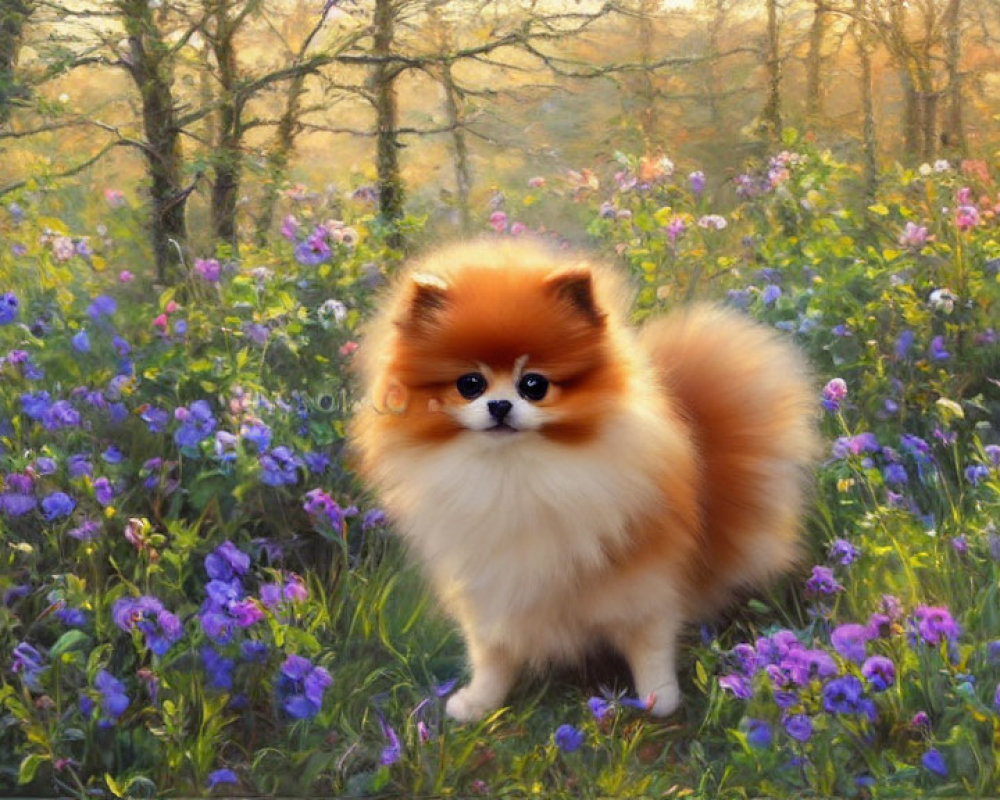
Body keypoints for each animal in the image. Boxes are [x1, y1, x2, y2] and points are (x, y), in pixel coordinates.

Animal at [352, 241, 820, 720]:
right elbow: (491, 653)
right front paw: (480, 703)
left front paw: (660, 698)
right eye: (470, 384)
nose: (500, 405)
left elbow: (650, 641)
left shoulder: (643, 576)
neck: (514, 472)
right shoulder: (487, 588)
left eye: (534, 385)